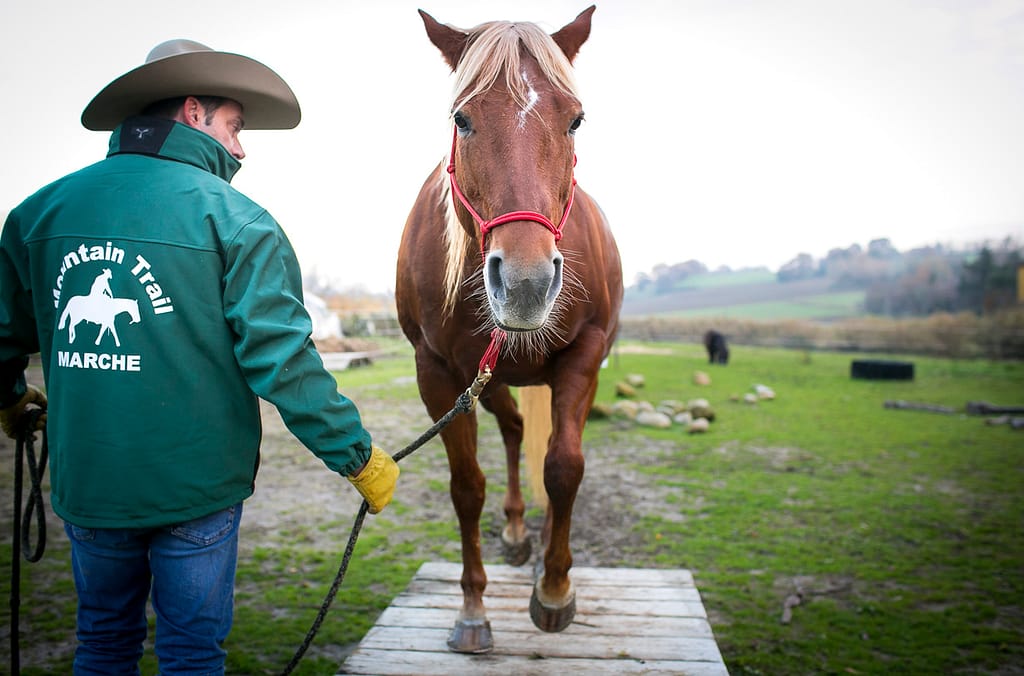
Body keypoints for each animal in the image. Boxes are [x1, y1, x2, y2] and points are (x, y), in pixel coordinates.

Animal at [395, 3, 622, 651]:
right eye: (462, 118)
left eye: (575, 120)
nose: (524, 282)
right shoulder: (439, 375)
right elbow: (466, 488)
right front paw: (473, 608)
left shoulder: (585, 353)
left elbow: (564, 468)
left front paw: (555, 590)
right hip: (490, 380)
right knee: (516, 429)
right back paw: (520, 532)